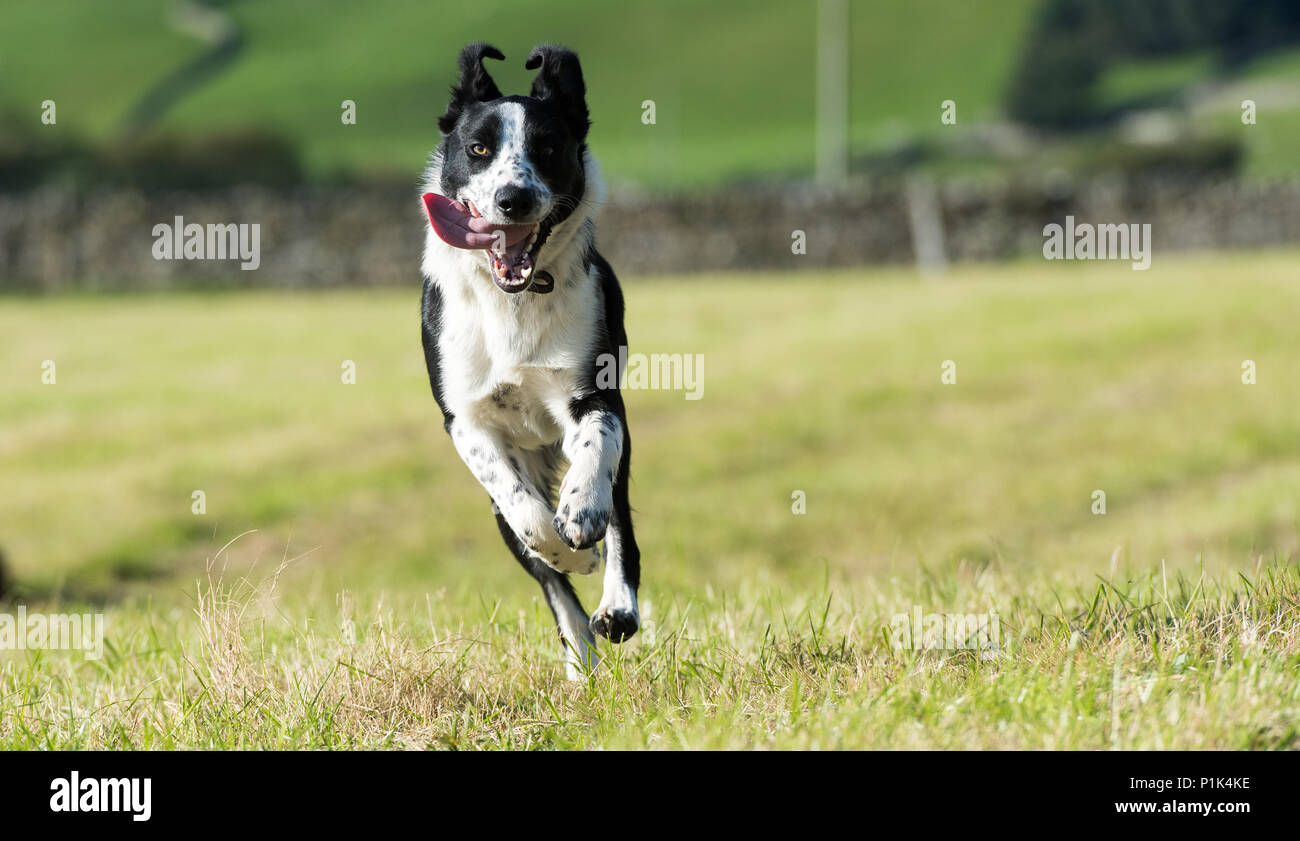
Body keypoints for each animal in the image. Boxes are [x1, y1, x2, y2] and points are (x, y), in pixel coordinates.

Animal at [416, 44, 639, 675]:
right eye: (478, 149)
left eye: (547, 148)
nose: (512, 198)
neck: (514, 297)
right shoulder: (465, 421)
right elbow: (528, 516)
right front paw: (571, 554)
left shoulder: (597, 394)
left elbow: (595, 456)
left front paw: (580, 516)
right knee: (547, 576)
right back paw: (580, 659)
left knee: (620, 521)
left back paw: (617, 608)